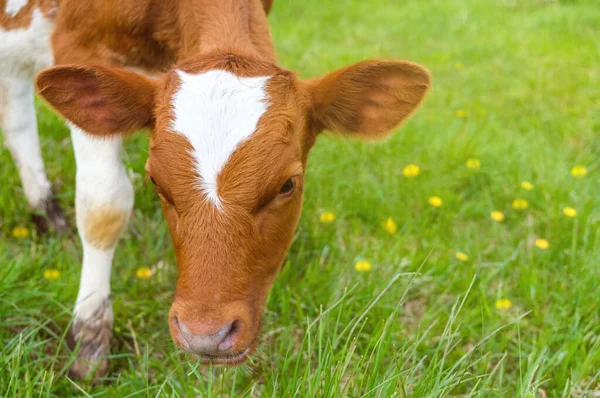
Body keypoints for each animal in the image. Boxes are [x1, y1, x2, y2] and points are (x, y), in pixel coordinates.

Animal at [0, 0, 432, 380]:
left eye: (288, 184)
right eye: (155, 181)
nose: (204, 336)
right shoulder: (77, 44)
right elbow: (104, 207)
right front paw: (90, 340)